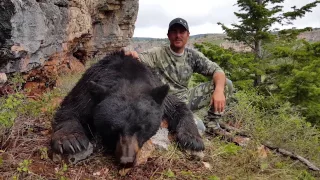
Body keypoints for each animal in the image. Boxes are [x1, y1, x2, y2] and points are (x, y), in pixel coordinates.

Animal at [51, 51, 204, 166]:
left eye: (141, 128)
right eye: (112, 128)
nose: (126, 160)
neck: (127, 78)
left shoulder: (158, 92)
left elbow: (178, 106)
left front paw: (193, 139)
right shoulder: (88, 87)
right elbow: (71, 107)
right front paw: (71, 140)